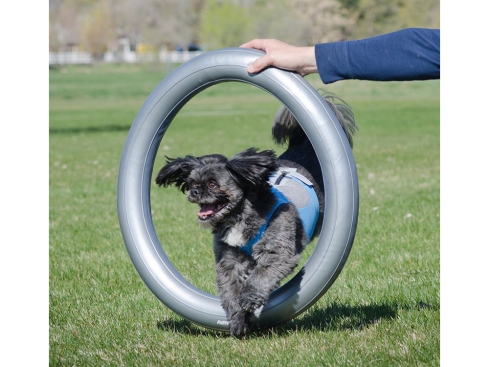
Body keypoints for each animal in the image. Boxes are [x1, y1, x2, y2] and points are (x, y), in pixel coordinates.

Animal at [155, 92, 354, 336]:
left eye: (212, 184)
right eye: (192, 182)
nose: (194, 191)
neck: (240, 216)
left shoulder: (277, 252)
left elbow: (260, 276)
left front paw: (249, 299)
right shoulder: (230, 261)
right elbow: (230, 290)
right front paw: (238, 319)